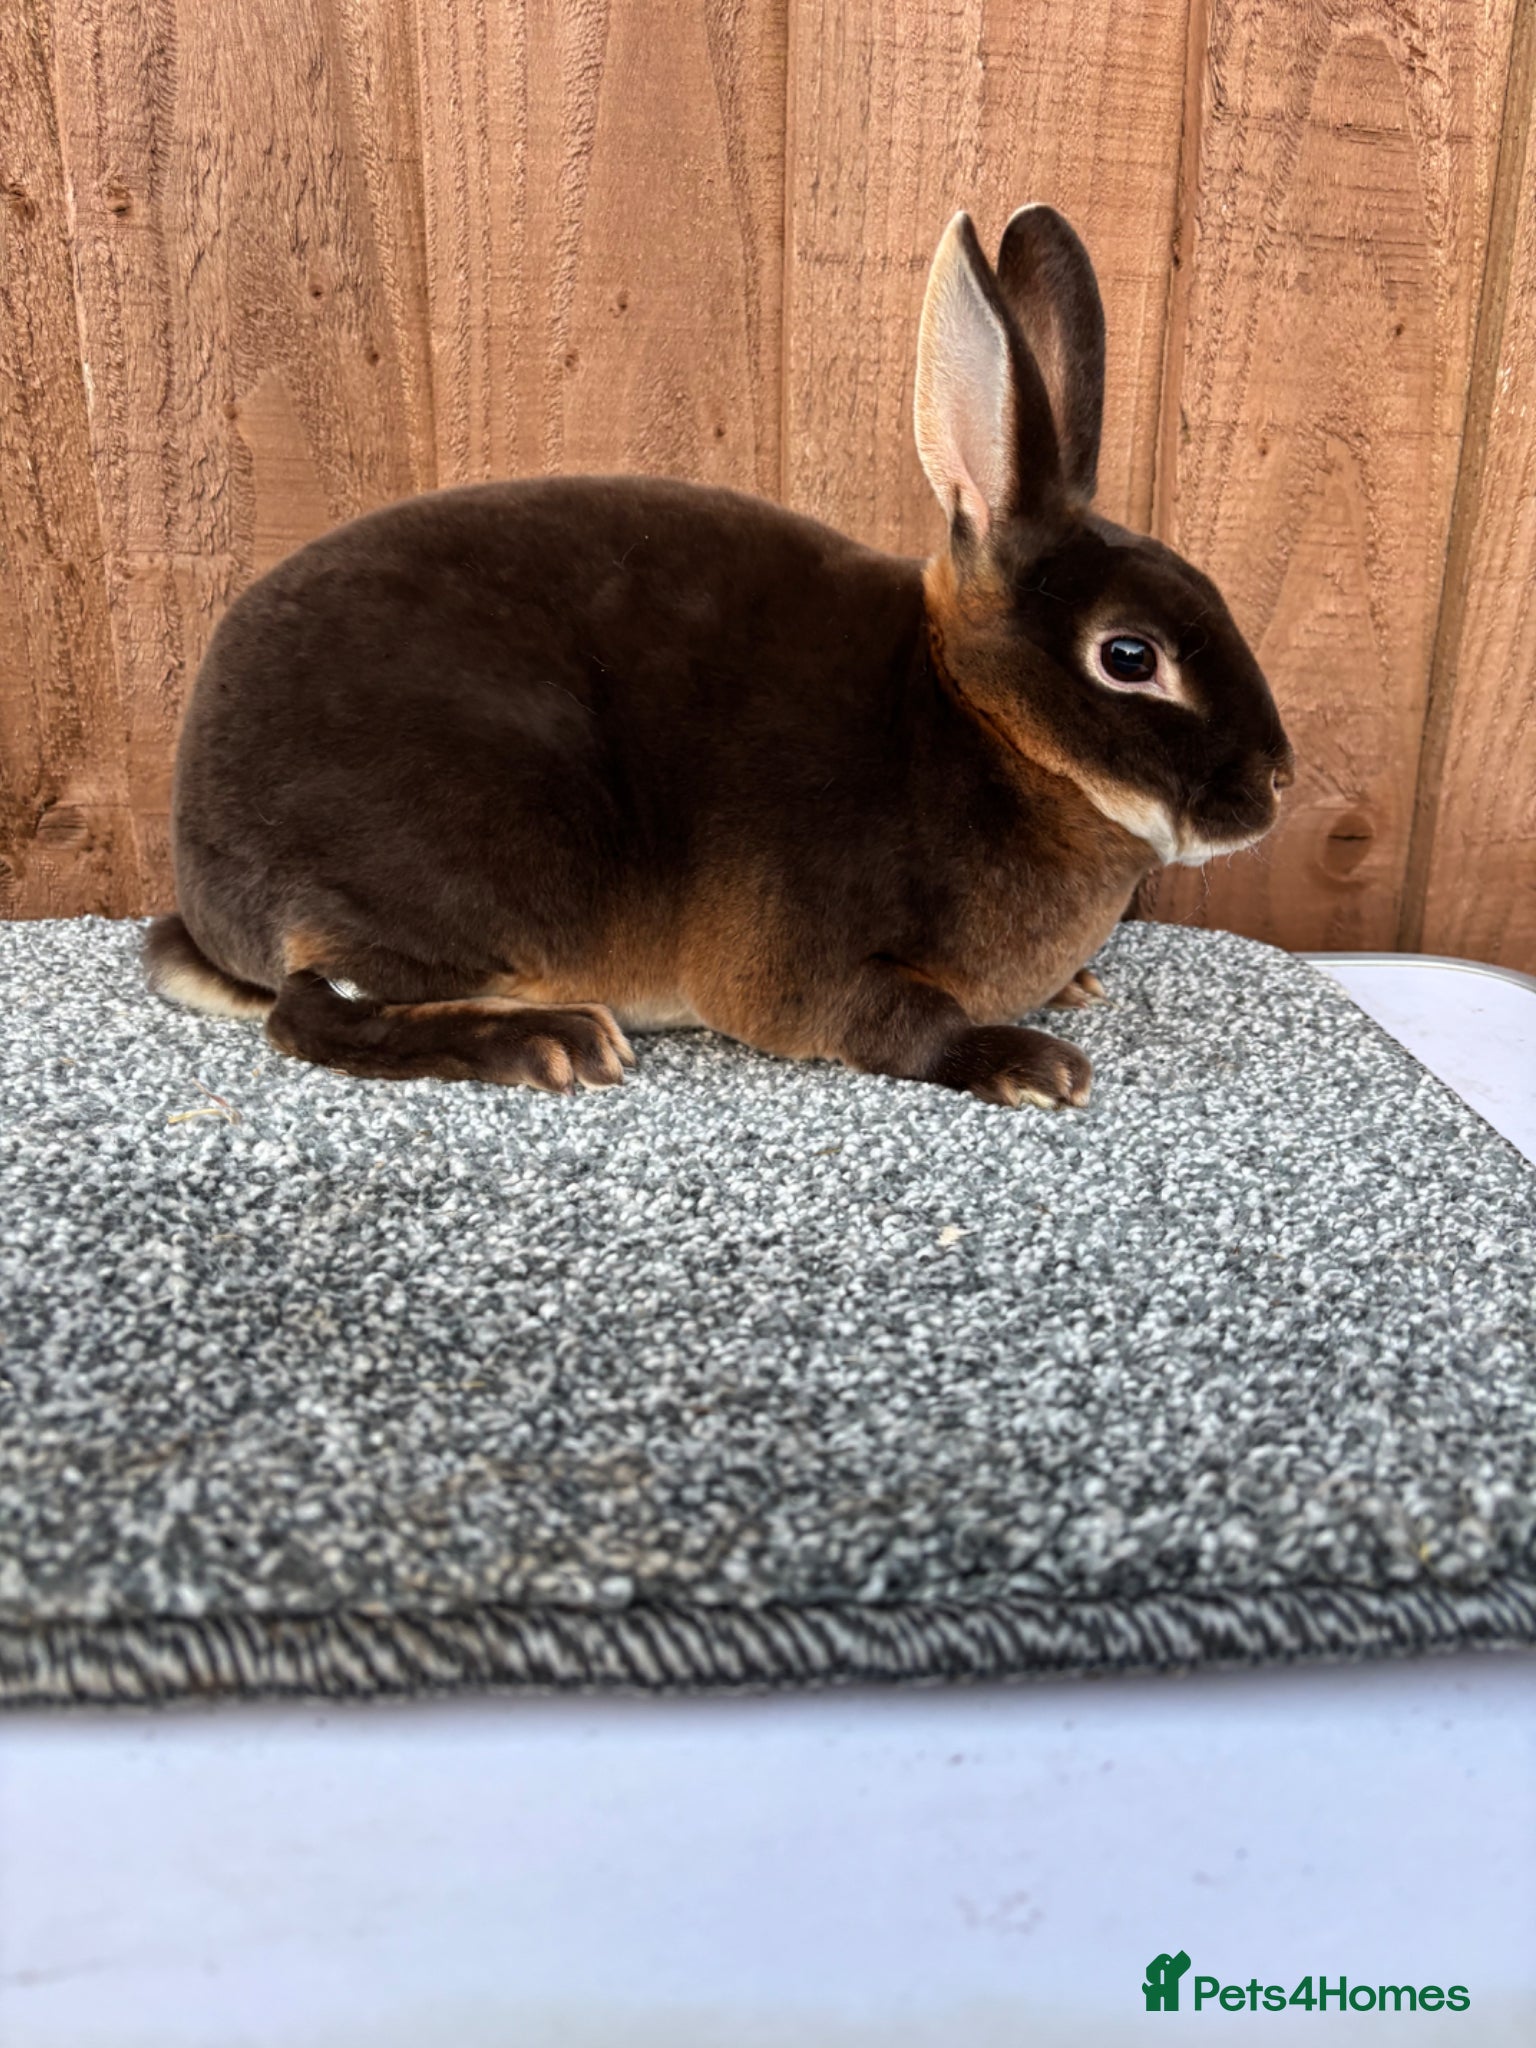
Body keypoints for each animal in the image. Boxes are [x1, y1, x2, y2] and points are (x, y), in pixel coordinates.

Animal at [145, 205, 1292, 1109]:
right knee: (310, 1011)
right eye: (1130, 655)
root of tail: (205, 879)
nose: (1275, 785)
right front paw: (1031, 1060)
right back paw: (551, 1041)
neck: (981, 724)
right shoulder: (813, 958)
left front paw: (1075, 988)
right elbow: (899, 1024)